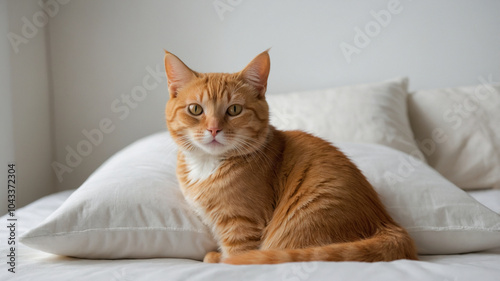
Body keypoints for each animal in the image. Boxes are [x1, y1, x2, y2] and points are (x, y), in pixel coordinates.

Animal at [164, 49, 418, 262]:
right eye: (195, 109)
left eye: (234, 110)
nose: (214, 129)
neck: (207, 165)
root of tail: (387, 223)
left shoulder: (242, 225)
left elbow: (236, 254)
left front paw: (221, 261)